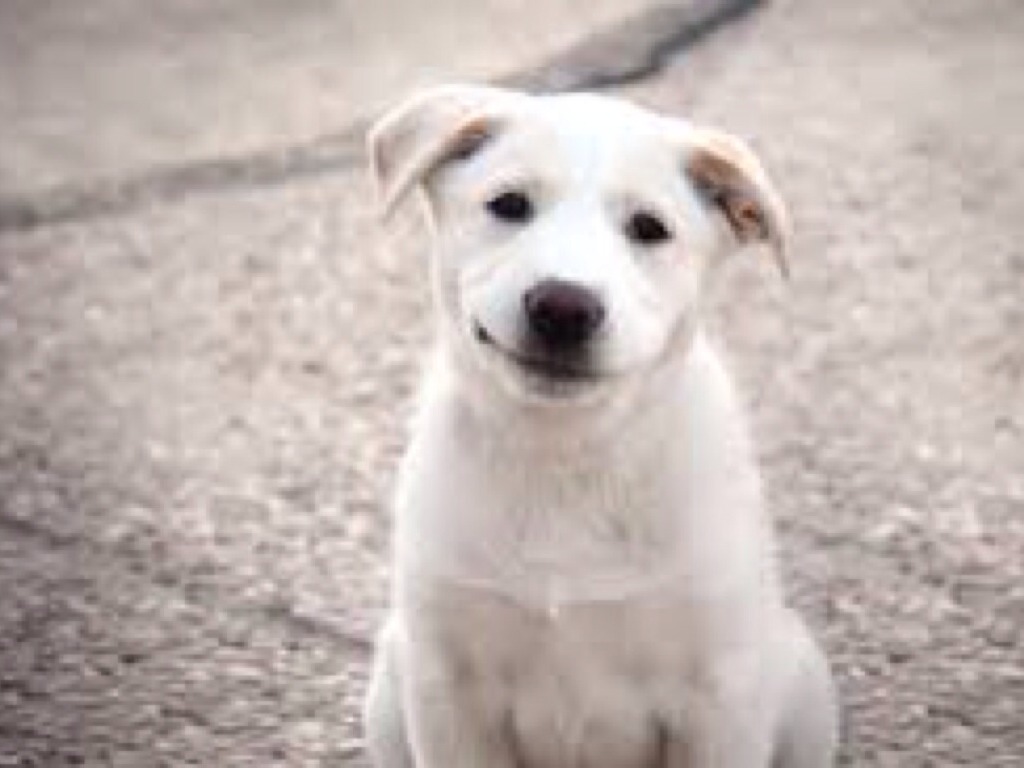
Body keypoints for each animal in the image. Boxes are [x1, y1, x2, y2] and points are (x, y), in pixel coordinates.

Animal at [362, 85, 837, 768]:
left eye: (649, 228)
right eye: (509, 204)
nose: (563, 307)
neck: (567, 456)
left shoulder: (720, 695)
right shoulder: (447, 686)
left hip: (801, 680)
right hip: (388, 680)